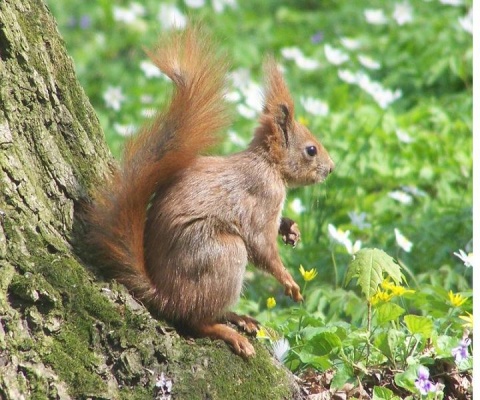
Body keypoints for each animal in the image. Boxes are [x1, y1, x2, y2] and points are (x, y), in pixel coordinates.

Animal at [86, 26, 334, 358]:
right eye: (311, 150)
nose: (331, 169)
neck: (269, 165)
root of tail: (166, 295)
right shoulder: (262, 196)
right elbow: (261, 244)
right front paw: (289, 280)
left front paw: (291, 229)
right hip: (222, 255)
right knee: (195, 320)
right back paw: (229, 332)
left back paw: (239, 318)